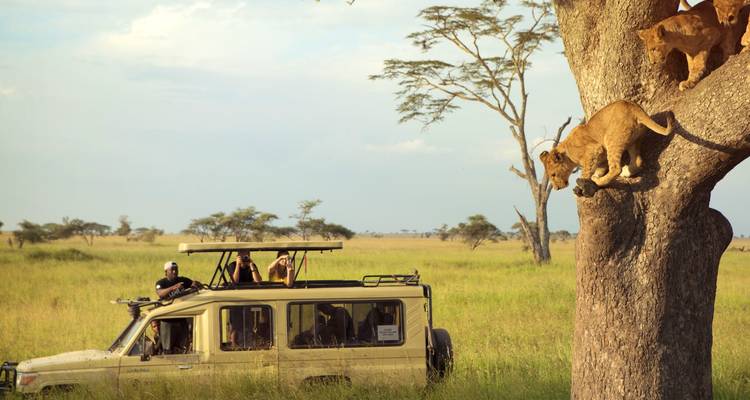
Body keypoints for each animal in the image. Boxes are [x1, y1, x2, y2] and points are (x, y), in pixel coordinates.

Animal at [540, 100, 674, 197]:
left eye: (553, 175)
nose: (556, 188)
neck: (567, 153)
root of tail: (632, 106)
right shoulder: (601, 156)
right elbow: (599, 168)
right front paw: (595, 176)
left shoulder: (593, 150)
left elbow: (586, 171)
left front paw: (585, 183)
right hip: (634, 141)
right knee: (638, 161)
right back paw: (626, 171)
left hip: (611, 139)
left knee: (616, 168)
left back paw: (600, 181)